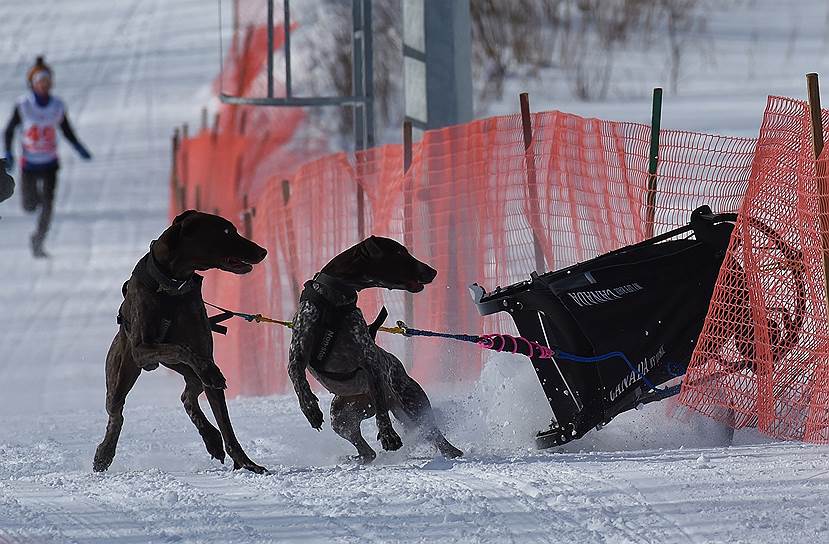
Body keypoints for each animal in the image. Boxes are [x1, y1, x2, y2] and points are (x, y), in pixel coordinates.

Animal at [94, 210, 268, 474]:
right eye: (226, 232)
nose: (263, 251)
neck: (171, 286)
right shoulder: (142, 349)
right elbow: (179, 348)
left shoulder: (202, 351)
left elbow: (227, 426)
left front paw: (246, 463)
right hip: (122, 372)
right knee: (116, 413)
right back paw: (104, 453)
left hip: (186, 374)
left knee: (188, 397)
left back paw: (211, 438)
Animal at [288, 235, 462, 464]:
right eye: (399, 252)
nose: (432, 271)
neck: (334, 299)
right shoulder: (297, 353)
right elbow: (298, 379)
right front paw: (310, 409)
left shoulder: (369, 362)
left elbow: (381, 410)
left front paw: (388, 435)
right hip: (341, 417)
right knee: (367, 450)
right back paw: (357, 458)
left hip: (411, 402)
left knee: (432, 432)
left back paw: (452, 451)